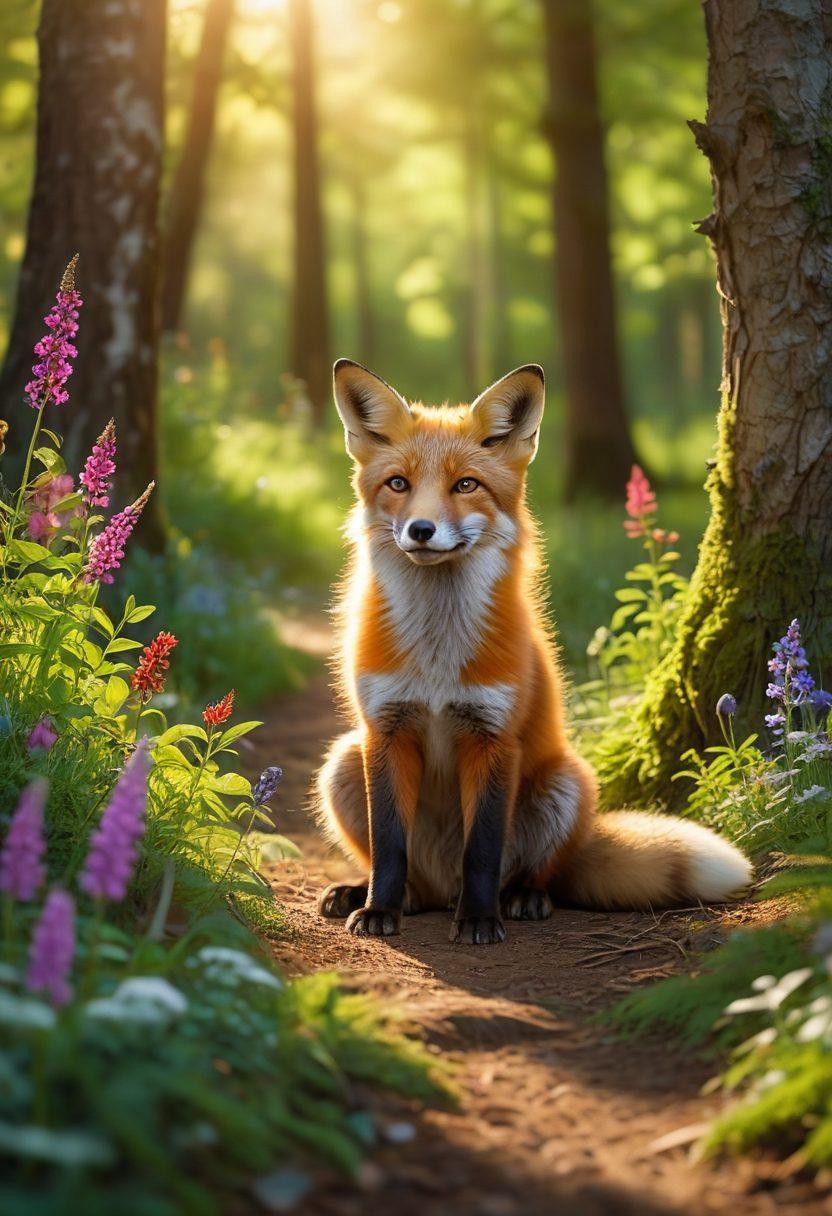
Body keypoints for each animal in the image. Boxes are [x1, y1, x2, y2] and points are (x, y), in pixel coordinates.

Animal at [315, 359, 752, 945]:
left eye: (466, 485)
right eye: (398, 484)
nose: (421, 530)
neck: (437, 658)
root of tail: (442, 885)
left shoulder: (494, 737)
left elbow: (482, 850)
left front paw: (479, 920)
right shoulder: (385, 730)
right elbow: (388, 846)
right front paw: (379, 908)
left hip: (565, 784)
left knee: (533, 872)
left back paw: (520, 897)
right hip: (343, 760)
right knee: (412, 876)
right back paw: (381, 894)